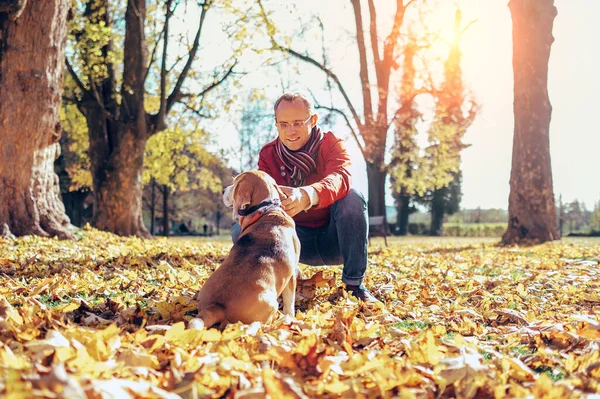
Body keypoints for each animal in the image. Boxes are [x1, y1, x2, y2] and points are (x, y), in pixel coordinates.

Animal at [195, 170, 302, 330]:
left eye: (235, 183)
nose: (223, 191)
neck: (267, 209)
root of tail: (217, 306)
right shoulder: (292, 275)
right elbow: (290, 303)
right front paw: (290, 316)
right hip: (271, 304)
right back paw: (280, 320)